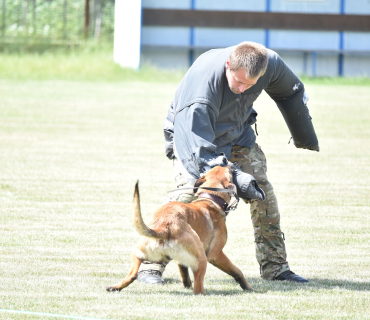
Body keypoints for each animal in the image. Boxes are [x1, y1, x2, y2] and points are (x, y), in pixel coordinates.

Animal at [106, 165, 254, 296]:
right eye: (228, 170)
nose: (231, 164)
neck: (210, 199)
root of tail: (164, 227)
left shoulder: (180, 260)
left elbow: (184, 273)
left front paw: (186, 285)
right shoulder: (216, 255)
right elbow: (237, 271)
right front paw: (247, 287)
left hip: (138, 254)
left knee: (132, 275)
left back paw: (115, 287)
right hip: (201, 258)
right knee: (198, 289)